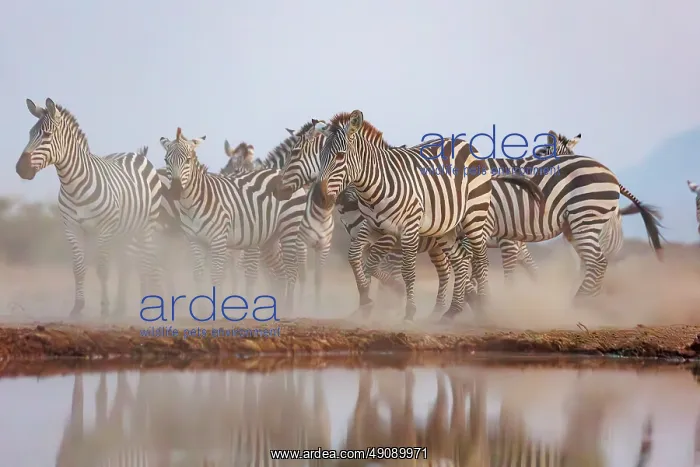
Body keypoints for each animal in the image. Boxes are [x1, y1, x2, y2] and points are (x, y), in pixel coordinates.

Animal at [15, 98, 165, 318]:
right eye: (30, 134)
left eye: (47, 135)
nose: (20, 169)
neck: (73, 185)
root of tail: (137, 155)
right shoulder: (72, 228)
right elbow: (78, 268)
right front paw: (78, 307)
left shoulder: (104, 229)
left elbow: (102, 269)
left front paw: (104, 309)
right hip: (124, 231)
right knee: (126, 265)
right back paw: (121, 308)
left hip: (147, 226)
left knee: (144, 263)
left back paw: (144, 304)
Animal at [159, 128, 306, 309]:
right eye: (166, 160)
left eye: (188, 160)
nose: (175, 191)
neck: (194, 202)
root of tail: (281, 172)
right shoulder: (195, 241)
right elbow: (198, 275)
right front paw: (201, 311)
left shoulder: (219, 240)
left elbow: (218, 276)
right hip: (270, 238)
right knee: (280, 274)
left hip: (289, 227)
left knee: (291, 270)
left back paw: (288, 309)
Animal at [288, 111, 544, 321]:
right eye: (321, 157)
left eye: (340, 157)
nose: (320, 199)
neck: (373, 187)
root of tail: (465, 145)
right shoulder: (372, 228)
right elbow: (357, 258)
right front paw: (365, 300)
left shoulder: (403, 232)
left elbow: (404, 270)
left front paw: (407, 310)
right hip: (445, 231)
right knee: (461, 263)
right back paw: (452, 311)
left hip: (475, 219)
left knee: (482, 262)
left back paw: (485, 305)